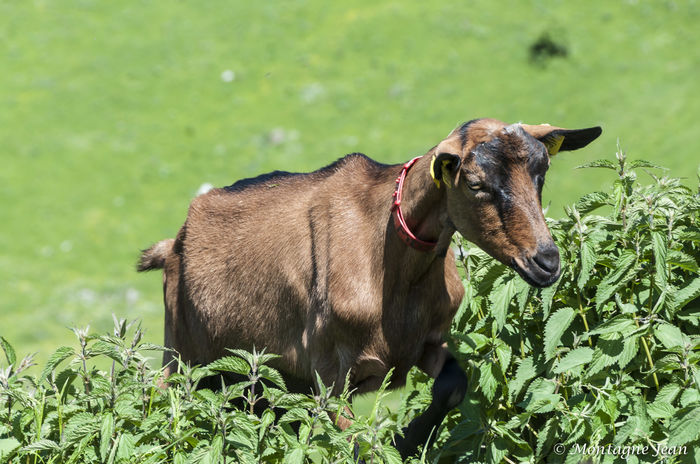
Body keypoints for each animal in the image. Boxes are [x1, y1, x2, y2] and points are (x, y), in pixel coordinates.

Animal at [138, 117, 600, 456]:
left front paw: (407, 441)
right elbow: (353, 443)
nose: (546, 262)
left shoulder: (422, 345)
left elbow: (452, 385)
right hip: (182, 353)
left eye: (541, 176)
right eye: (475, 183)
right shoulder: (329, 373)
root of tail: (173, 244)